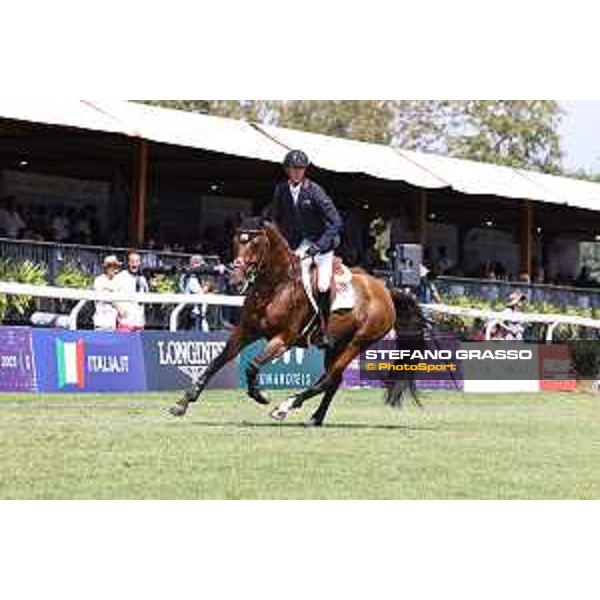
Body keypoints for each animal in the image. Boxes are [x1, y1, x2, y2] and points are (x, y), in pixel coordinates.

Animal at [166, 217, 424, 426]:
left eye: (255, 243)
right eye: (236, 241)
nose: (235, 279)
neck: (274, 287)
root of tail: (385, 291)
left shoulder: (283, 339)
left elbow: (252, 366)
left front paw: (261, 395)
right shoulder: (245, 332)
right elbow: (217, 362)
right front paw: (183, 402)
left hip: (359, 342)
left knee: (329, 378)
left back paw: (284, 407)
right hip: (336, 344)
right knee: (334, 380)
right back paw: (315, 418)